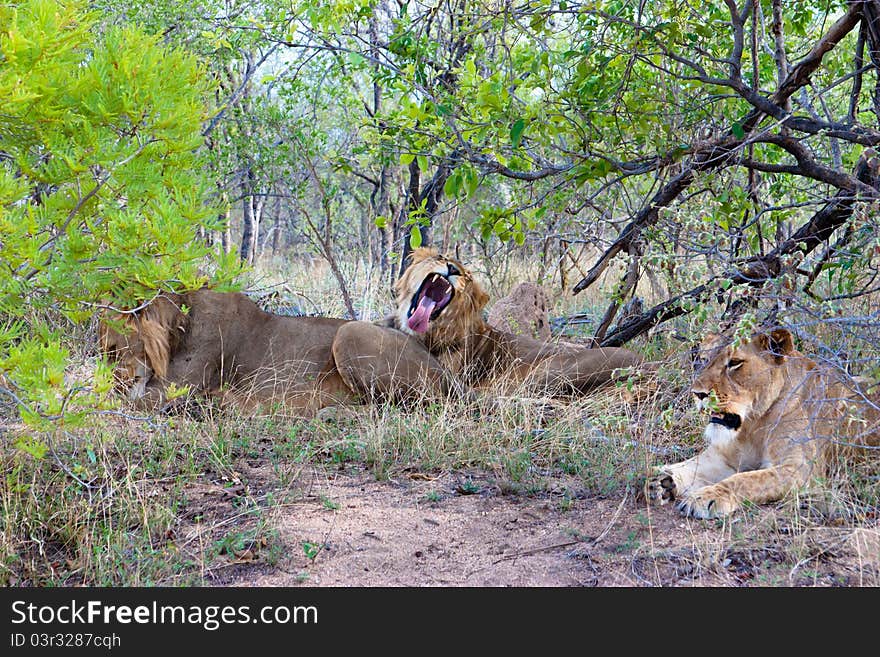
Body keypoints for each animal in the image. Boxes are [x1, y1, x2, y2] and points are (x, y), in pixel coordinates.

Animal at [648, 328, 880, 516]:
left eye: (734, 363)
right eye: (703, 359)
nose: (698, 393)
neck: (752, 424)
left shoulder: (802, 470)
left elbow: (745, 480)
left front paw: (705, 498)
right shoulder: (722, 457)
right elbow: (690, 465)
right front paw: (659, 479)